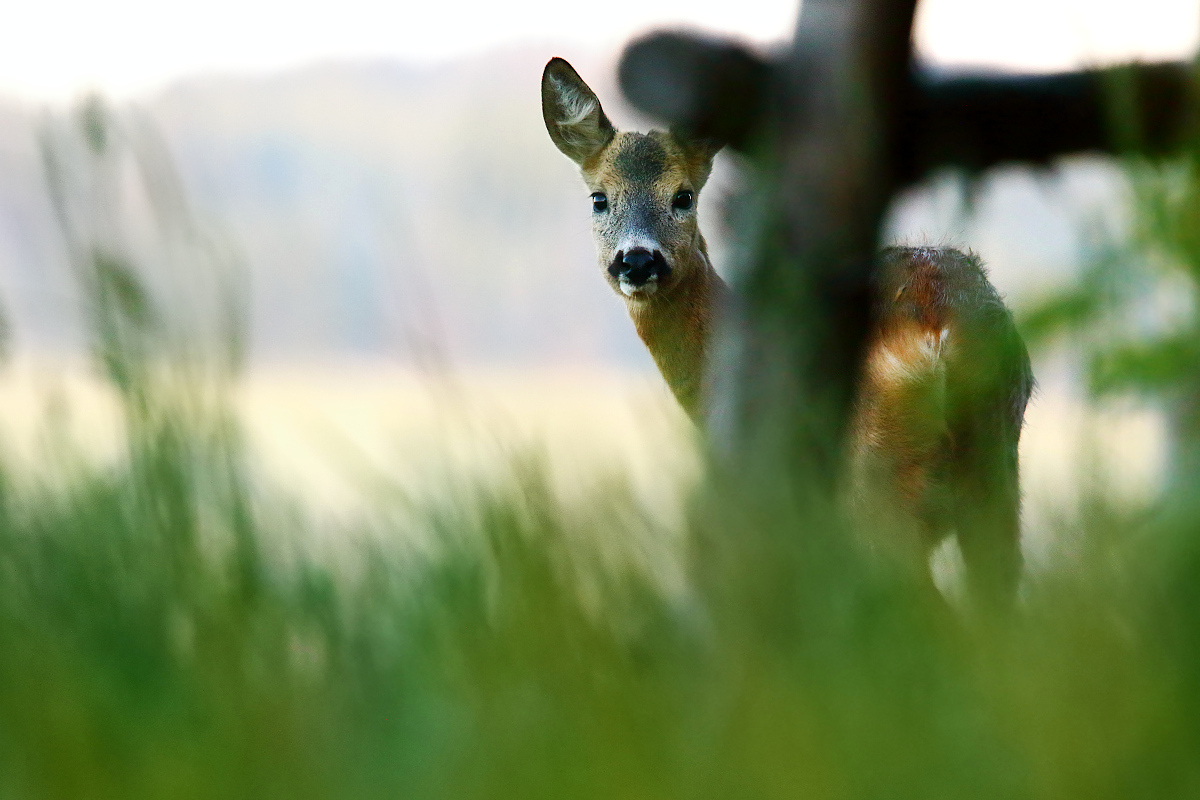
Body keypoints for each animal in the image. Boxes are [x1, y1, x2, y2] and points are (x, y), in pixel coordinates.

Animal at [542, 57, 1032, 614]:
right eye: (599, 198)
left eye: (683, 196)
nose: (639, 260)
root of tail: (937, 323)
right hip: (995, 473)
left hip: (879, 484)